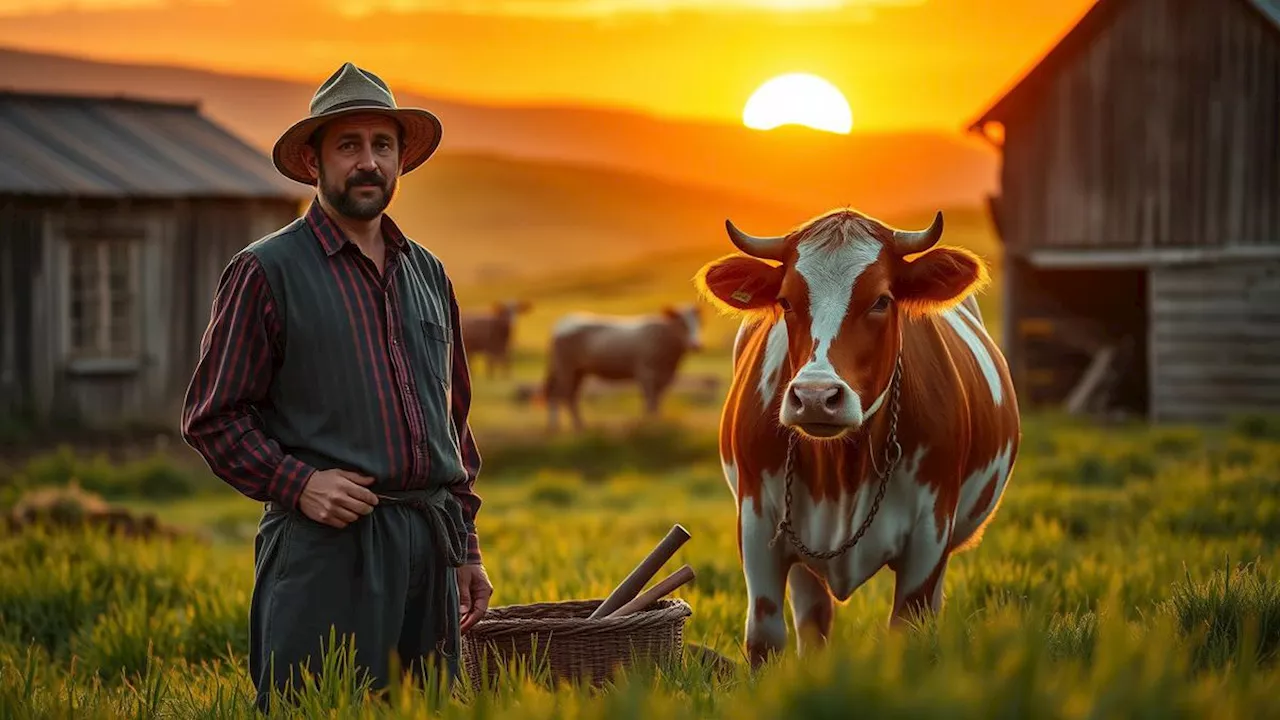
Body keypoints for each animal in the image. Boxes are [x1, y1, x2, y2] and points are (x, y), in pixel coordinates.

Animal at [537, 303, 701, 430]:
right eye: (682, 323)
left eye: (699, 323)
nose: (695, 344)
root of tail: (563, 322)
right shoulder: (646, 373)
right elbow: (650, 401)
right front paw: (651, 424)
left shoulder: (665, 377)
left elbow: (657, 401)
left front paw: (657, 422)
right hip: (566, 369)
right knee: (560, 395)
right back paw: (565, 427)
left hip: (578, 371)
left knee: (567, 395)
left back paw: (575, 426)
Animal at [691, 207, 1018, 666]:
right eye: (786, 300)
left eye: (881, 300)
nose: (815, 396)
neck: (843, 470)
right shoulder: (758, 524)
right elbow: (766, 637)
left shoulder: (930, 533)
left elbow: (910, 630)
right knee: (813, 619)